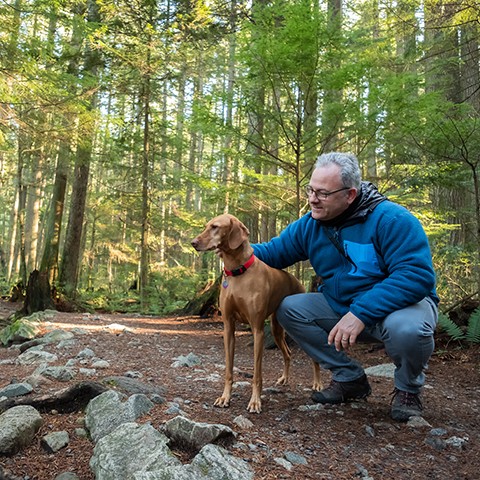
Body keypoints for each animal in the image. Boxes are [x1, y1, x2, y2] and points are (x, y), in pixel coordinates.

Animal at [190, 214, 318, 412]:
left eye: (215, 227)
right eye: (206, 226)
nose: (193, 243)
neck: (238, 272)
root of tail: (297, 281)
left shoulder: (257, 330)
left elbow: (257, 374)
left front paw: (255, 401)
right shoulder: (228, 327)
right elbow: (228, 370)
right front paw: (225, 397)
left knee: (314, 358)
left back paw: (318, 383)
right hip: (276, 329)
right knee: (288, 353)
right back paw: (284, 378)